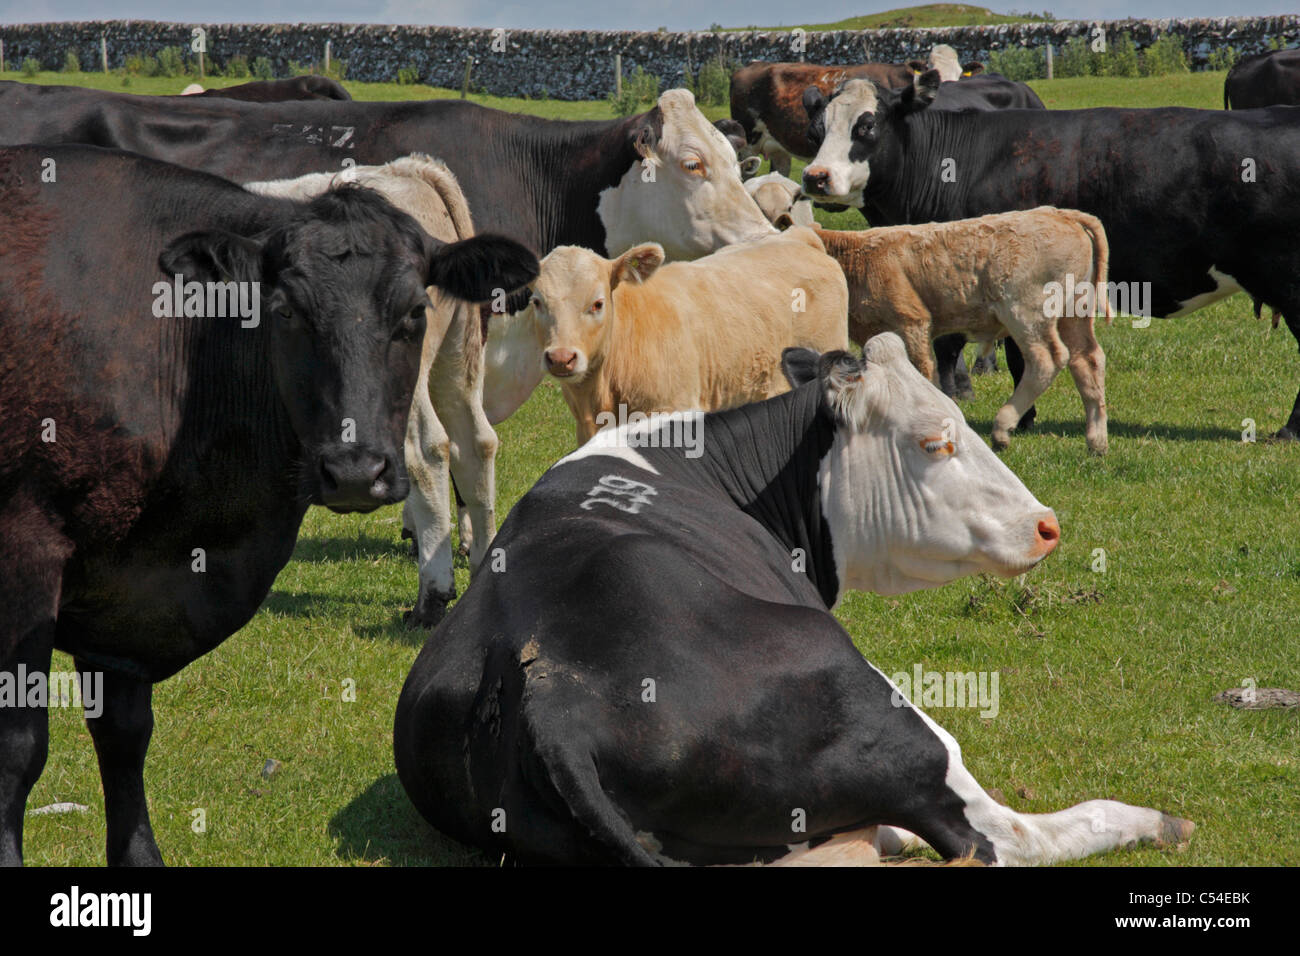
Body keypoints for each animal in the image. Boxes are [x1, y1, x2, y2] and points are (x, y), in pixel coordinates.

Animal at [0, 81, 780, 625]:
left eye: (735, 160)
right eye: (692, 163)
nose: (767, 238)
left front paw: (439, 545)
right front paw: (441, 540)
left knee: (444, 445)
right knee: (463, 442)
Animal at [0, 144, 538, 866]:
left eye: (411, 312)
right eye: (284, 311)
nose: (351, 471)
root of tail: (407, 166)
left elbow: (89, 738)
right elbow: (65, 739)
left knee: (437, 448)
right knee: (471, 443)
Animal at [393, 334, 1195, 866]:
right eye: (935, 441)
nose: (1046, 525)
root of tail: (550, 688)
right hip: (881, 709)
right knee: (995, 835)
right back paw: (1148, 818)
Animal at [812, 209, 1111, 454]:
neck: (855, 258)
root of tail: (1060, 213)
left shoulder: (912, 323)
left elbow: (921, 372)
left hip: (1026, 311)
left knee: (1047, 359)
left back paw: (1002, 429)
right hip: (1074, 313)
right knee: (1087, 360)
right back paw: (1096, 441)